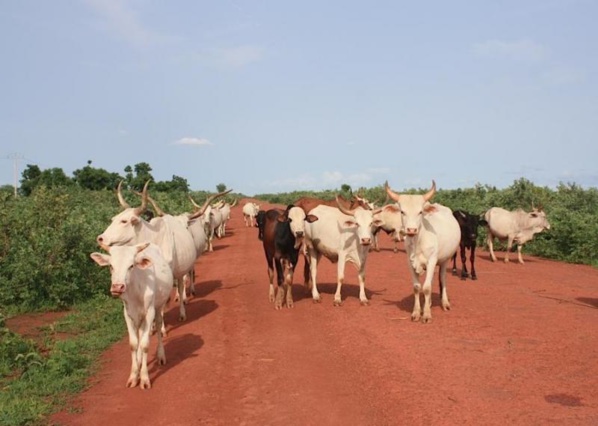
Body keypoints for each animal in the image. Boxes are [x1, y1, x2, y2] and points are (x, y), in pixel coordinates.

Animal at [90, 243, 173, 390]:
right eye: (111, 266)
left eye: (131, 266)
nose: (117, 287)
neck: (136, 289)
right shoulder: (128, 314)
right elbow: (134, 344)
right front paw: (134, 376)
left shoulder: (149, 312)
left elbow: (144, 344)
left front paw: (144, 378)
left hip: (158, 308)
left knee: (158, 326)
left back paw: (161, 355)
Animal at [98, 181, 197, 322]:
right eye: (113, 219)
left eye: (124, 221)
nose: (100, 238)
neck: (151, 239)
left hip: (180, 271)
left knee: (180, 286)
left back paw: (182, 312)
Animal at [386, 180, 462, 322]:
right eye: (402, 212)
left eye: (420, 212)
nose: (411, 230)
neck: (418, 242)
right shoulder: (409, 262)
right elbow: (417, 287)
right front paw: (416, 312)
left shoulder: (432, 260)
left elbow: (426, 288)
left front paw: (426, 314)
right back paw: (430, 302)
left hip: (445, 260)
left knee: (442, 278)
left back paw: (445, 303)